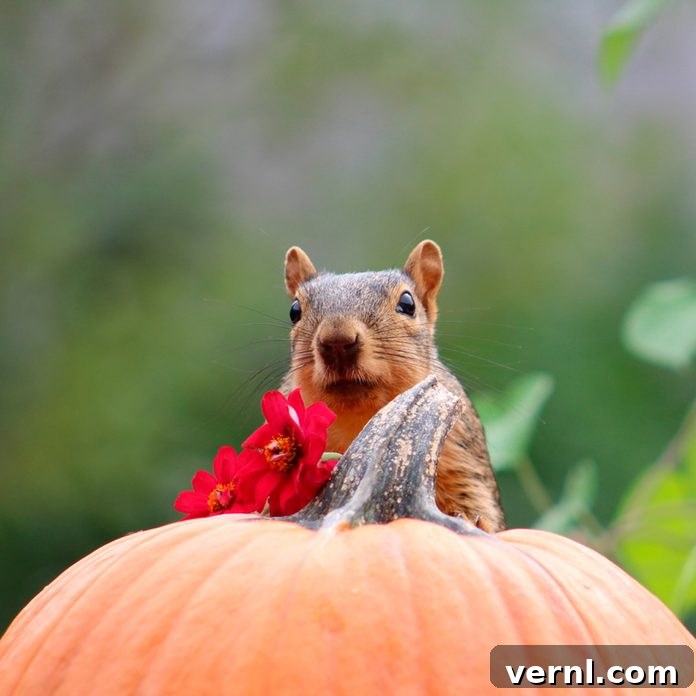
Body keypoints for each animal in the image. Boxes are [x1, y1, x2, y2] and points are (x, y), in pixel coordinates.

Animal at [279, 240, 505, 532]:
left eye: (407, 304)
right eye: (294, 311)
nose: (337, 340)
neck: (360, 416)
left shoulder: (463, 454)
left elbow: (474, 496)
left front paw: (474, 521)